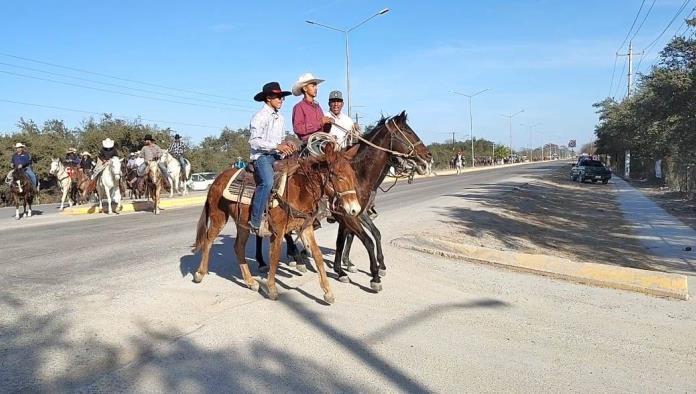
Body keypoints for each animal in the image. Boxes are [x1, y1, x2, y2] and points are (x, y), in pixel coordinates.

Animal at [192, 143, 362, 304]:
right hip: (218, 217)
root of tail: (218, 179)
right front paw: (272, 289)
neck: (298, 191)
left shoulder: (306, 228)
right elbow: (274, 256)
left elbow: (318, 256)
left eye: (353, 175)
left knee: (238, 247)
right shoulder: (278, 231)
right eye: (339, 176)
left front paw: (328, 292)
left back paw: (250, 282)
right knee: (208, 239)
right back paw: (200, 273)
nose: (355, 209)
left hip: (242, 224)